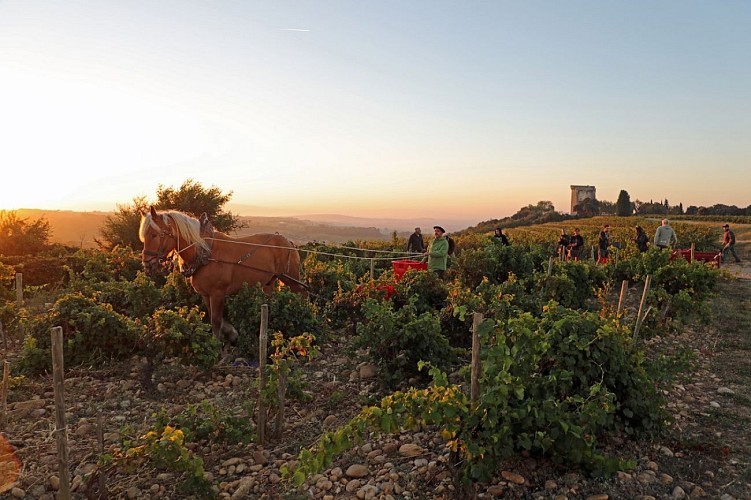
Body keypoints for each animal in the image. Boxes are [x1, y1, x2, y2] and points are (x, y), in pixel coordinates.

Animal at [140, 207, 306, 344]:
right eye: (144, 237)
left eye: (155, 235)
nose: (147, 265)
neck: (205, 253)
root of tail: (289, 242)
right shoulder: (206, 294)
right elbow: (214, 317)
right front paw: (230, 332)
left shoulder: (217, 293)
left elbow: (216, 320)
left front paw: (217, 343)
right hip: (269, 281)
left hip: (292, 280)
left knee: (301, 294)